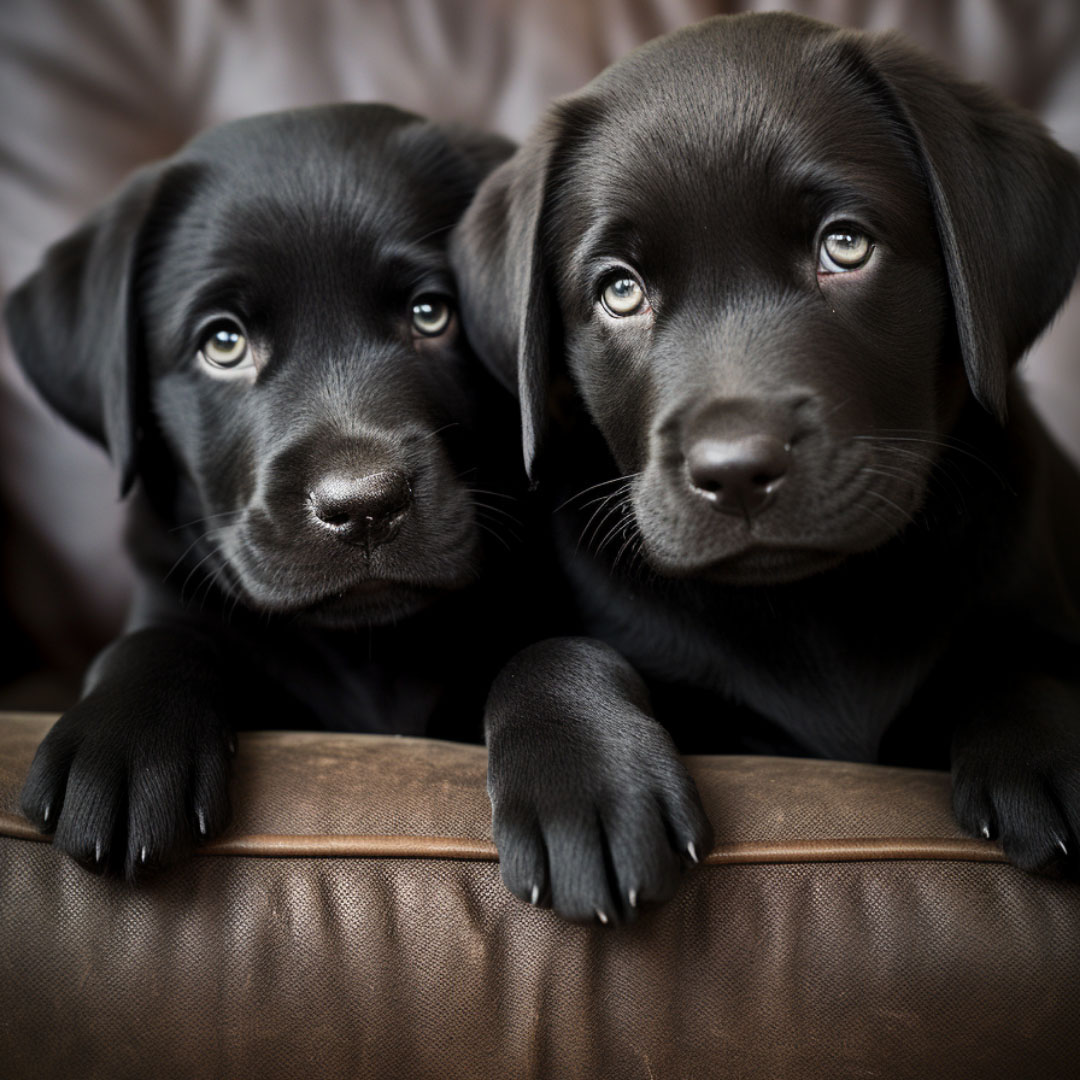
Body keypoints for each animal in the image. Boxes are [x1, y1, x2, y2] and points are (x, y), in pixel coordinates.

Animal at [6, 103, 522, 876]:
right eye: (223, 344)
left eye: (433, 314)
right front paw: (120, 744)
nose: (363, 506)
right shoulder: (166, 593)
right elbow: (157, 640)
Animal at [451, 12, 1080, 924]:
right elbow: (547, 652)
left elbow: (1019, 654)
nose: (738, 470)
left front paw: (1048, 745)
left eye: (845, 246)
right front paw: (583, 783)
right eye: (620, 291)